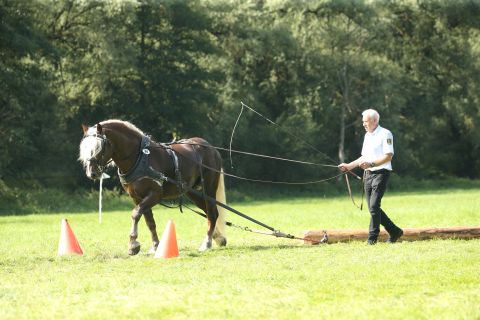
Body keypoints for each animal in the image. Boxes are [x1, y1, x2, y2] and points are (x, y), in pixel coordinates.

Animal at [78, 119, 227, 255]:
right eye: (84, 148)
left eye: (99, 148)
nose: (92, 173)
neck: (140, 158)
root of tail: (210, 147)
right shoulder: (137, 197)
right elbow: (149, 221)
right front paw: (155, 246)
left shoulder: (155, 195)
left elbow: (135, 214)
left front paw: (133, 244)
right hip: (193, 192)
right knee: (210, 213)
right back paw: (218, 238)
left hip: (209, 187)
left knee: (212, 213)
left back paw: (207, 243)